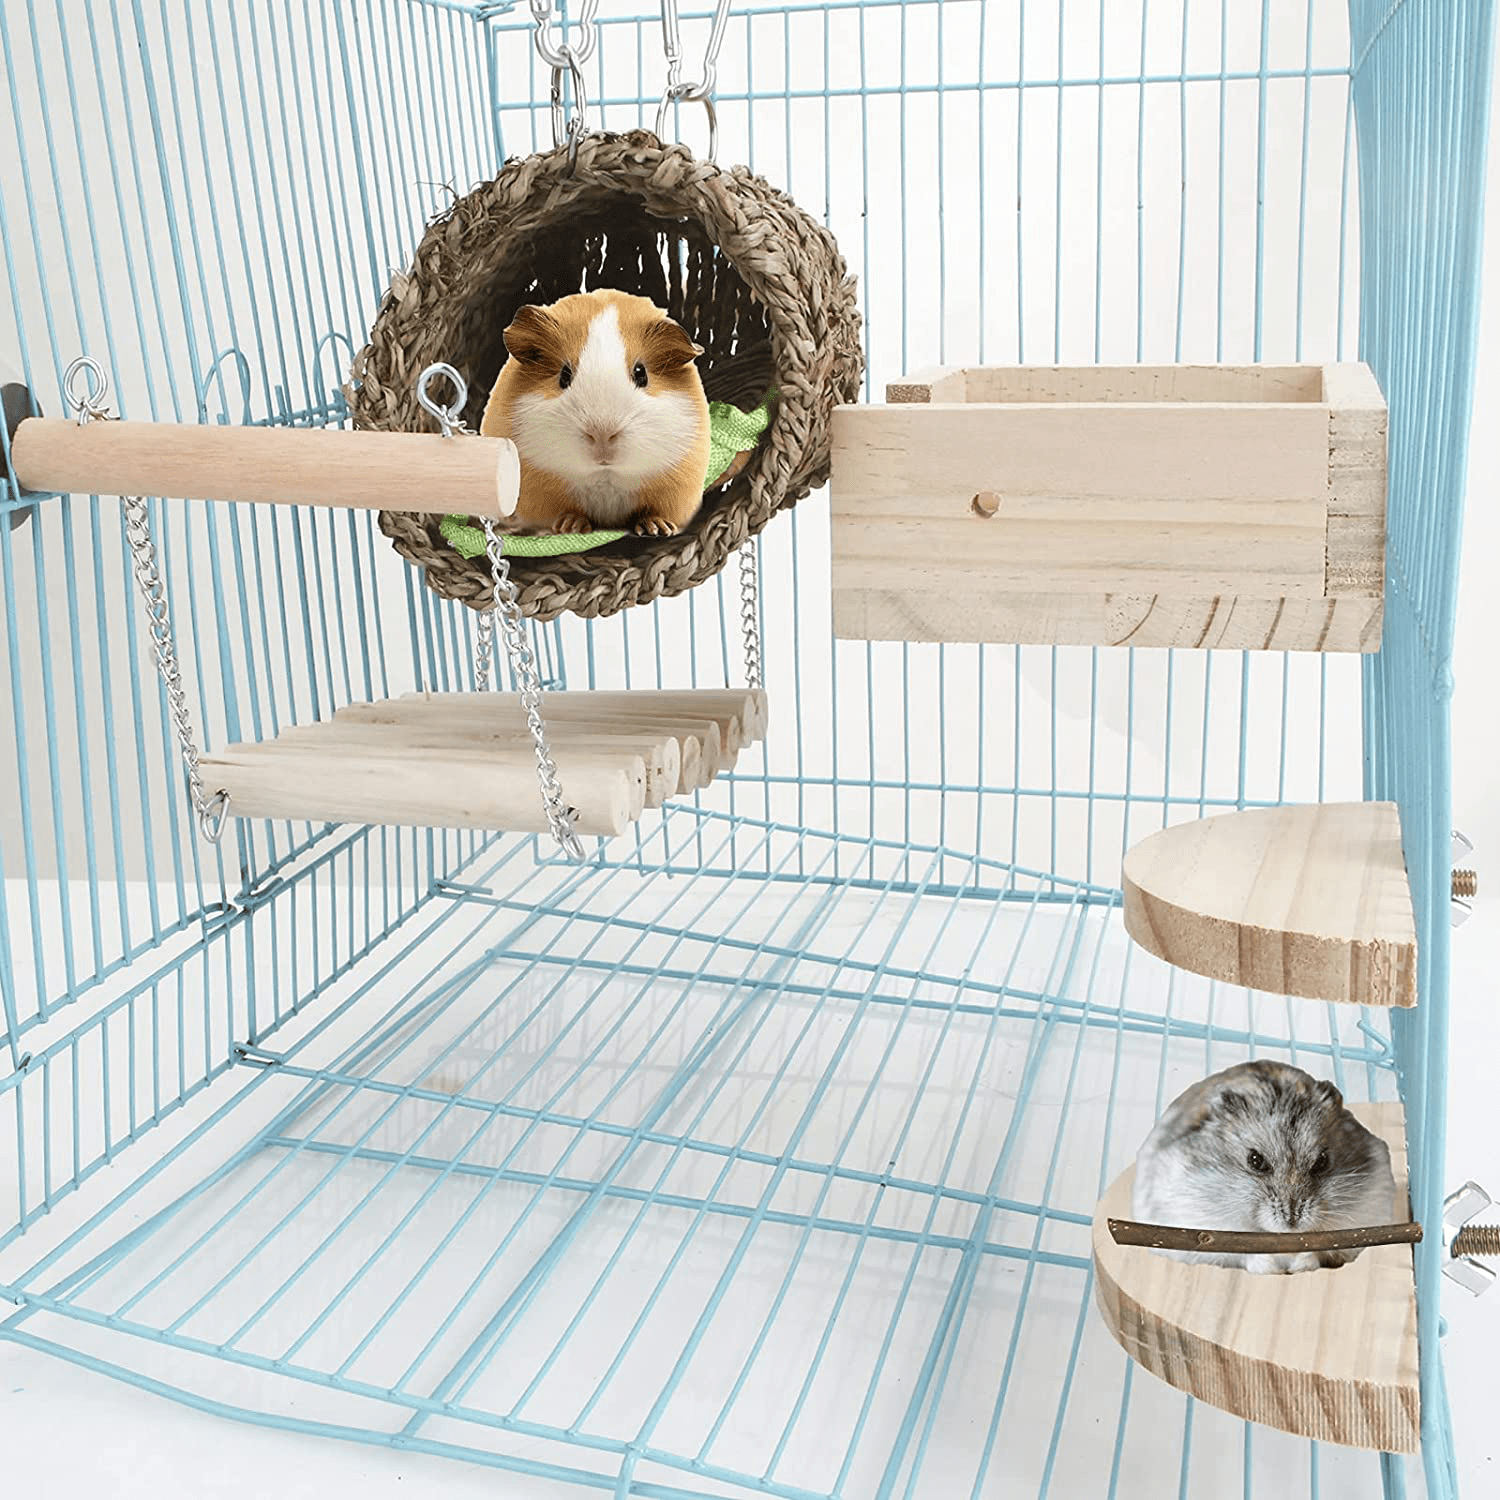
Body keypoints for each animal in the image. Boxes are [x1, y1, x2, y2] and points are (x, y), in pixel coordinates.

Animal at [480, 289, 712, 538]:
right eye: (564, 376)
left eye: (642, 374)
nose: (602, 434)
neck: (605, 477)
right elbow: (564, 512)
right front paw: (571, 527)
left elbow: (653, 511)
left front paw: (658, 529)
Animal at [1130, 1060, 1398, 1275]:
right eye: (1255, 1160)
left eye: (1322, 1161)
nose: (1292, 1219)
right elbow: (1246, 1254)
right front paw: (1271, 1269)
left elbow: (1317, 1253)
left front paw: (1300, 1266)